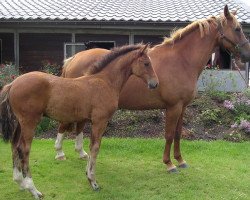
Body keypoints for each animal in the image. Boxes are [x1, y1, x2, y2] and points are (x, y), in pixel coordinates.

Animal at [0, 44, 158, 198]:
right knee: (23, 149)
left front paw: (88, 174)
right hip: (29, 122)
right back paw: (33, 189)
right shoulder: (100, 121)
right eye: (146, 63)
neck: (105, 81)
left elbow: (91, 146)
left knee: (14, 146)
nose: (155, 84)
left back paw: (20, 182)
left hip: (19, 123)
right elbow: (95, 147)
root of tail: (12, 84)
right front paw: (92, 181)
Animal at [57, 5, 250, 173]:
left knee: (79, 125)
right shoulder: (173, 107)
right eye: (237, 29)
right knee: (64, 124)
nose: (247, 55)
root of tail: (74, 58)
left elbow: (178, 134)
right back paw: (60, 153)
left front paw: (180, 160)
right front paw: (169, 164)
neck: (182, 61)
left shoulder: (182, 107)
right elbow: (169, 134)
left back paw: (81, 152)